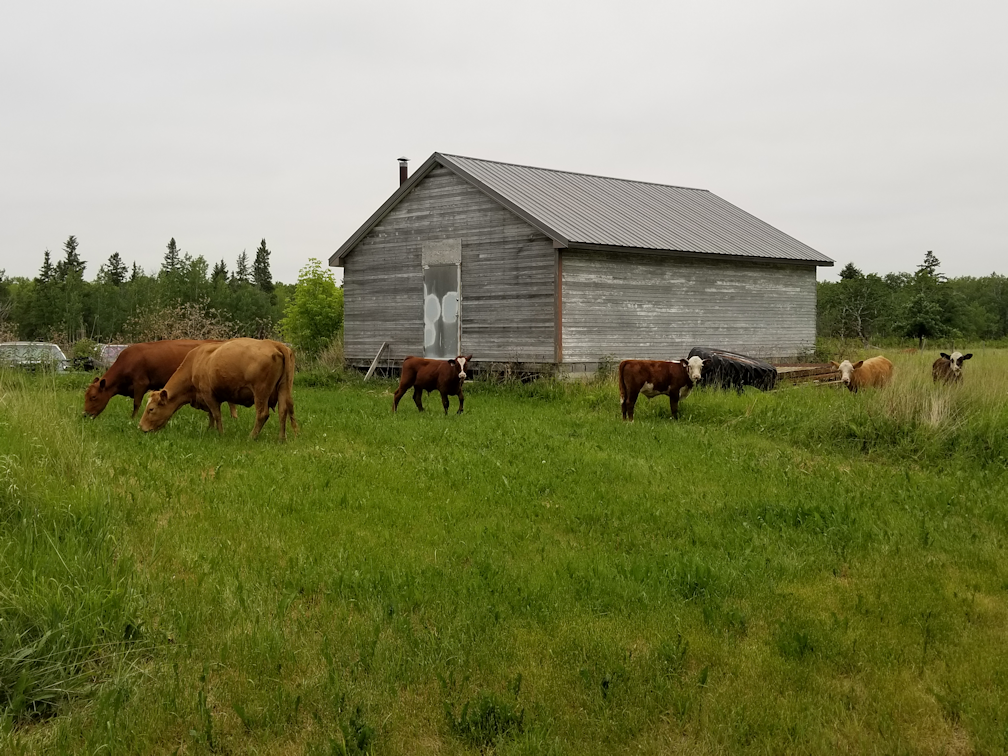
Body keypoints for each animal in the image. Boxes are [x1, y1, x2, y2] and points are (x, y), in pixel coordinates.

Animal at [139, 338, 297, 440]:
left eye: (151, 409)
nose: (141, 427)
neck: (194, 364)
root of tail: (274, 343)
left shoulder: (208, 394)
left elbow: (216, 415)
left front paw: (220, 434)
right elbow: (211, 415)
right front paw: (210, 430)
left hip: (261, 392)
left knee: (262, 414)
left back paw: (251, 437)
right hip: (283, 388)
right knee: (283, 411)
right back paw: (282, 438)